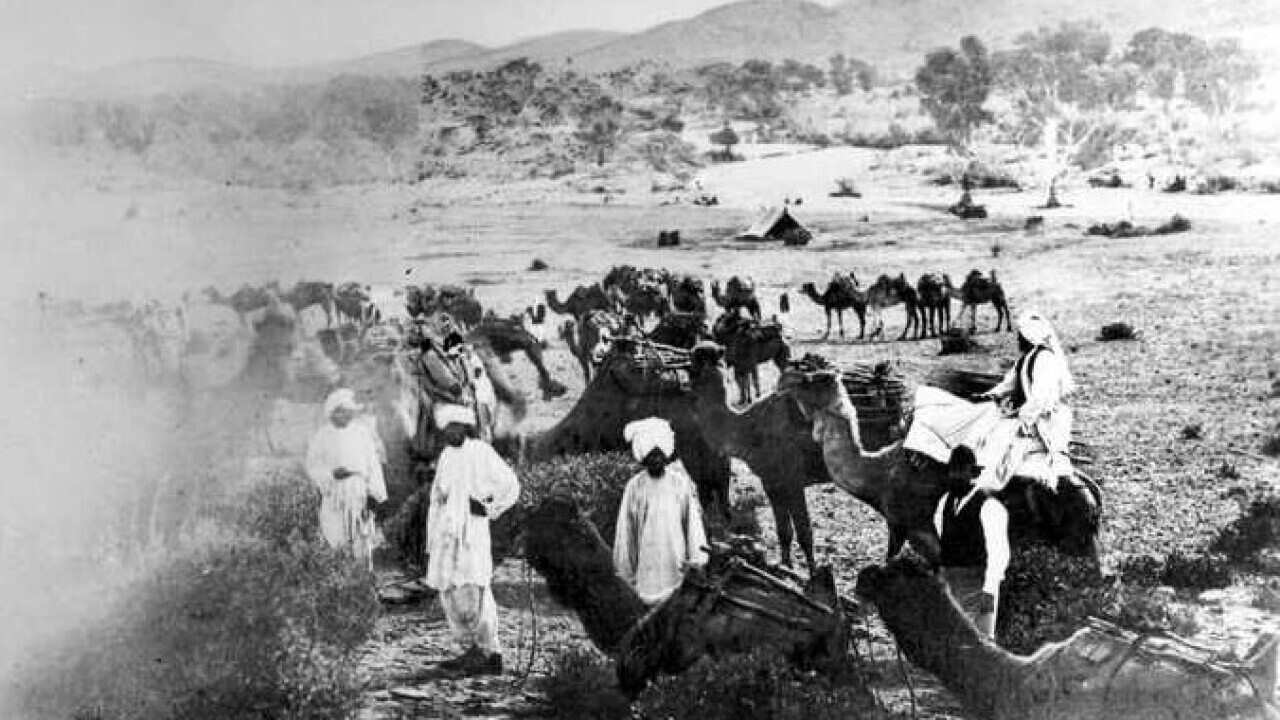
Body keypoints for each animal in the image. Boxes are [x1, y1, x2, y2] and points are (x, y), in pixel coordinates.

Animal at [691, 340, 829, 566]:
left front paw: (812, 572)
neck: (749, 427)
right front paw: (786, 567)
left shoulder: (793, 480)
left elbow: (805, 534)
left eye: (694, 358)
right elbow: (784, 531)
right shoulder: (772, 482)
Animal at [773, 368, 1105, 561]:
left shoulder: (917, 525)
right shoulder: (898, 525)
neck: (876, 475)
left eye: (812, 380)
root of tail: (1092, 496)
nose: (782, 382)